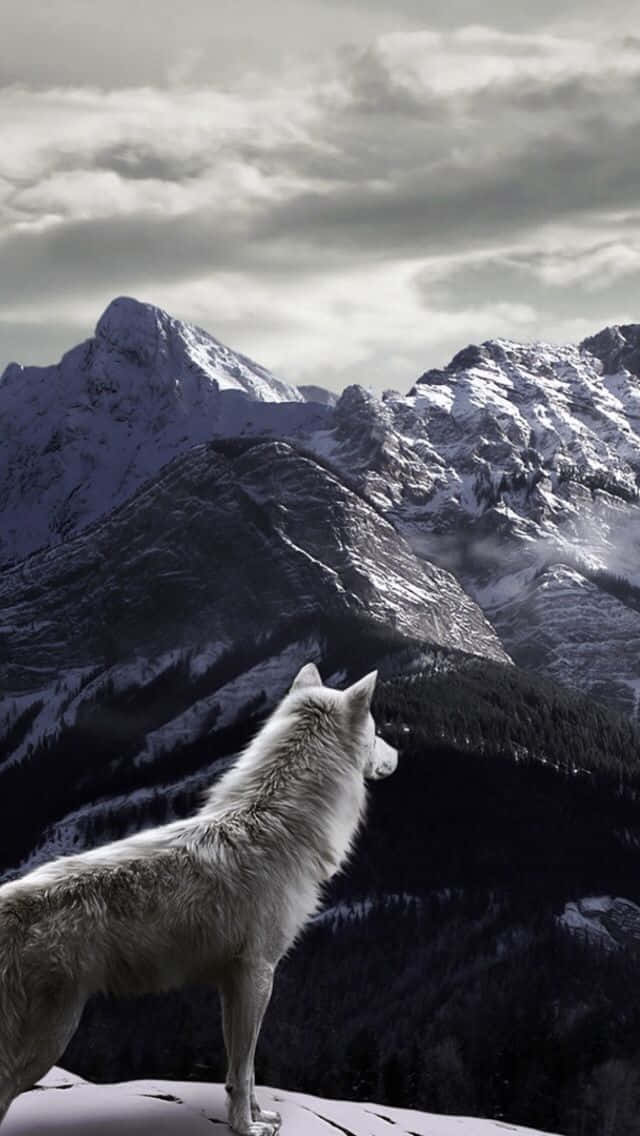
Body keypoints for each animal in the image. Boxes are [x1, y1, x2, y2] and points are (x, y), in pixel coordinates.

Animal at [0, 663, 397, 1134]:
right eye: (377, 732)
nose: (398, 754)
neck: (279, 825)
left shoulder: (233, 983)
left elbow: (242, 1069)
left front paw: (258, 1115)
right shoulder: (258, 973)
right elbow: (244, 1069)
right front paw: (246, 1127)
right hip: (46, 1043)